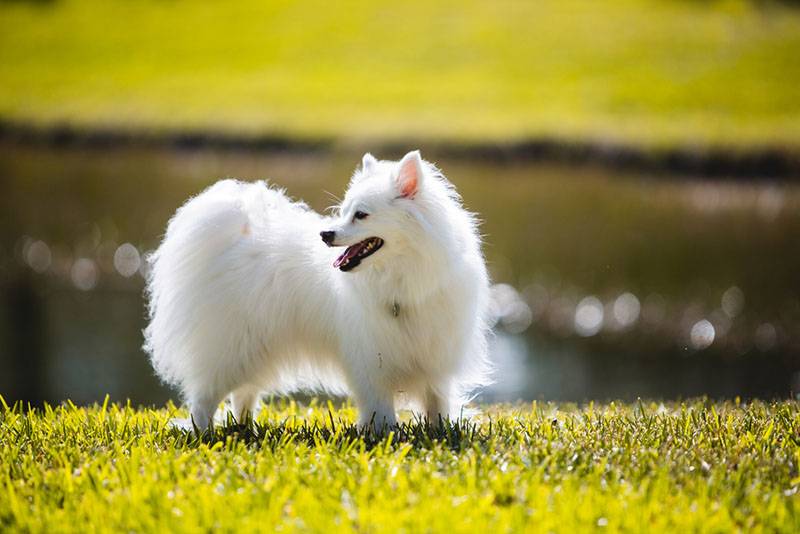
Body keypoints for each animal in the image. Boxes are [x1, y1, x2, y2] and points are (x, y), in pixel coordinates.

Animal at [145, 150, 494, 432]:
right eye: (343, 211)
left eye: (361, 214)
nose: (325, 234)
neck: (401, 278)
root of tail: (237, 236)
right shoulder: (371, 362)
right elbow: (381, 408)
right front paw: (385, 434)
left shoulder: (436, 360)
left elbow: (437, 403)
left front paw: (441, 432)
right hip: (233, 347)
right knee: (204, 397)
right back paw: (203, 432)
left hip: (256, 347)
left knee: (243, 393)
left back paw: (245, 427)